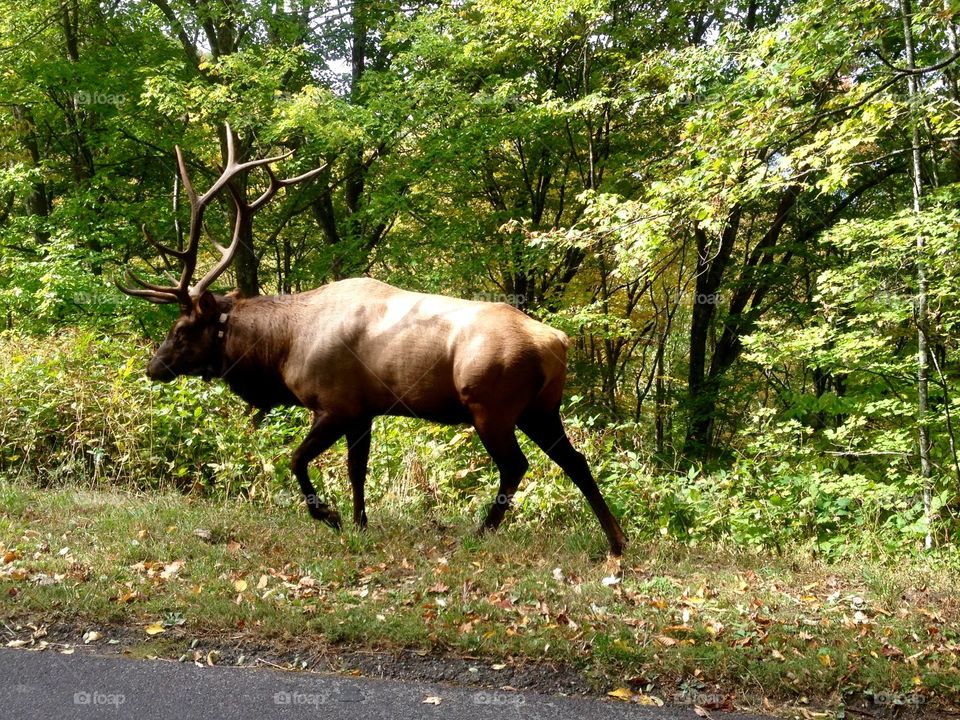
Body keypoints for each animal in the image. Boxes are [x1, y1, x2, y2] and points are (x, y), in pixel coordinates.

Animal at [118, 128, 632, 556]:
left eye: (182, 330)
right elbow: (357, 470)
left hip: (491, 405)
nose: (153, 366)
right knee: (576, 460)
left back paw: (483, 531)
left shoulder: (335, 403)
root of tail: (558, 341)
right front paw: (361, 524)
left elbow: (296, 460)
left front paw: (329, 515)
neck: (282, 351)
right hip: (541, 408)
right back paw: (616, 540)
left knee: (516, 466)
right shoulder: (364, 411)